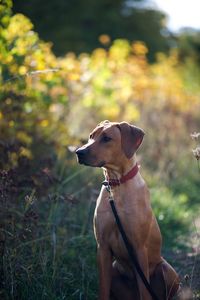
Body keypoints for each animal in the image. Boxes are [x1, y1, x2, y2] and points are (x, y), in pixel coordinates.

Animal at [76, 120, 180, 298]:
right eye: (91, 136)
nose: (78, 152)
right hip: (114, 268)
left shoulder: (139, 248)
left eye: (107, 138)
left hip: (167, 271)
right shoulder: (102, 248)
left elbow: (145, 291)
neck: (116, 185)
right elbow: (103, 290)